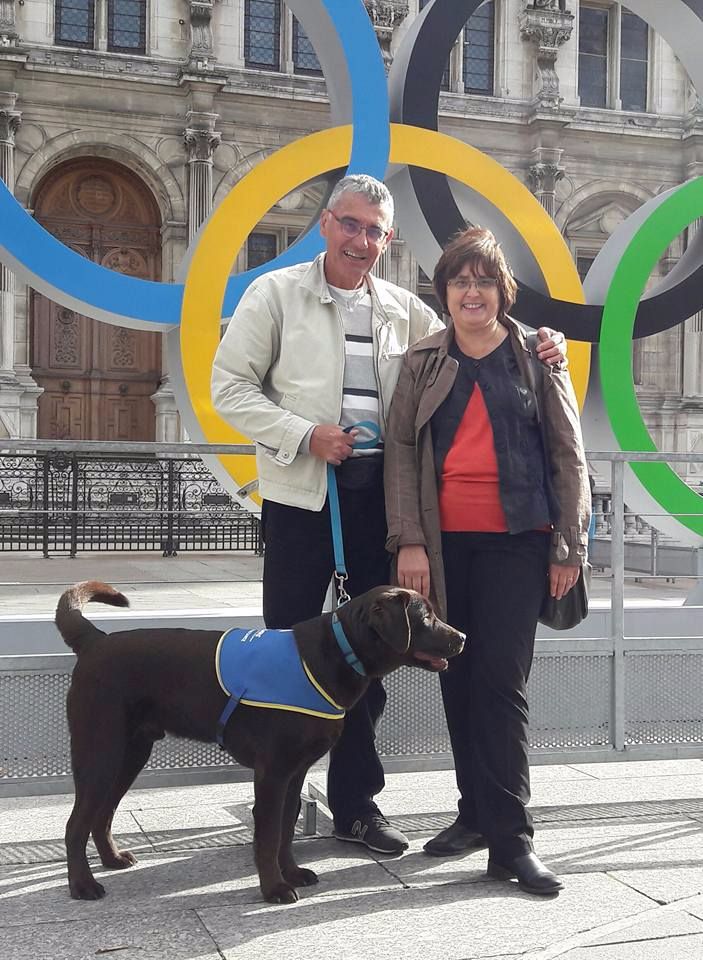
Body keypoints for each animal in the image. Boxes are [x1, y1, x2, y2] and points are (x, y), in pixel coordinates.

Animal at [57, 580, 464, 904]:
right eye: (426, 617)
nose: (462, 637)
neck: (333, 653)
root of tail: (95, 642)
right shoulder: (272, 773)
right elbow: (268, 836)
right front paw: (274, 888)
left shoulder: (295, 773)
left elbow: (285, 831)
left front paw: (292, 872)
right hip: (100, 751)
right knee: (76, 823)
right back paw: (83, 885)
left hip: (130, 753)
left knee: (102, 814)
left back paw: (112, 860)